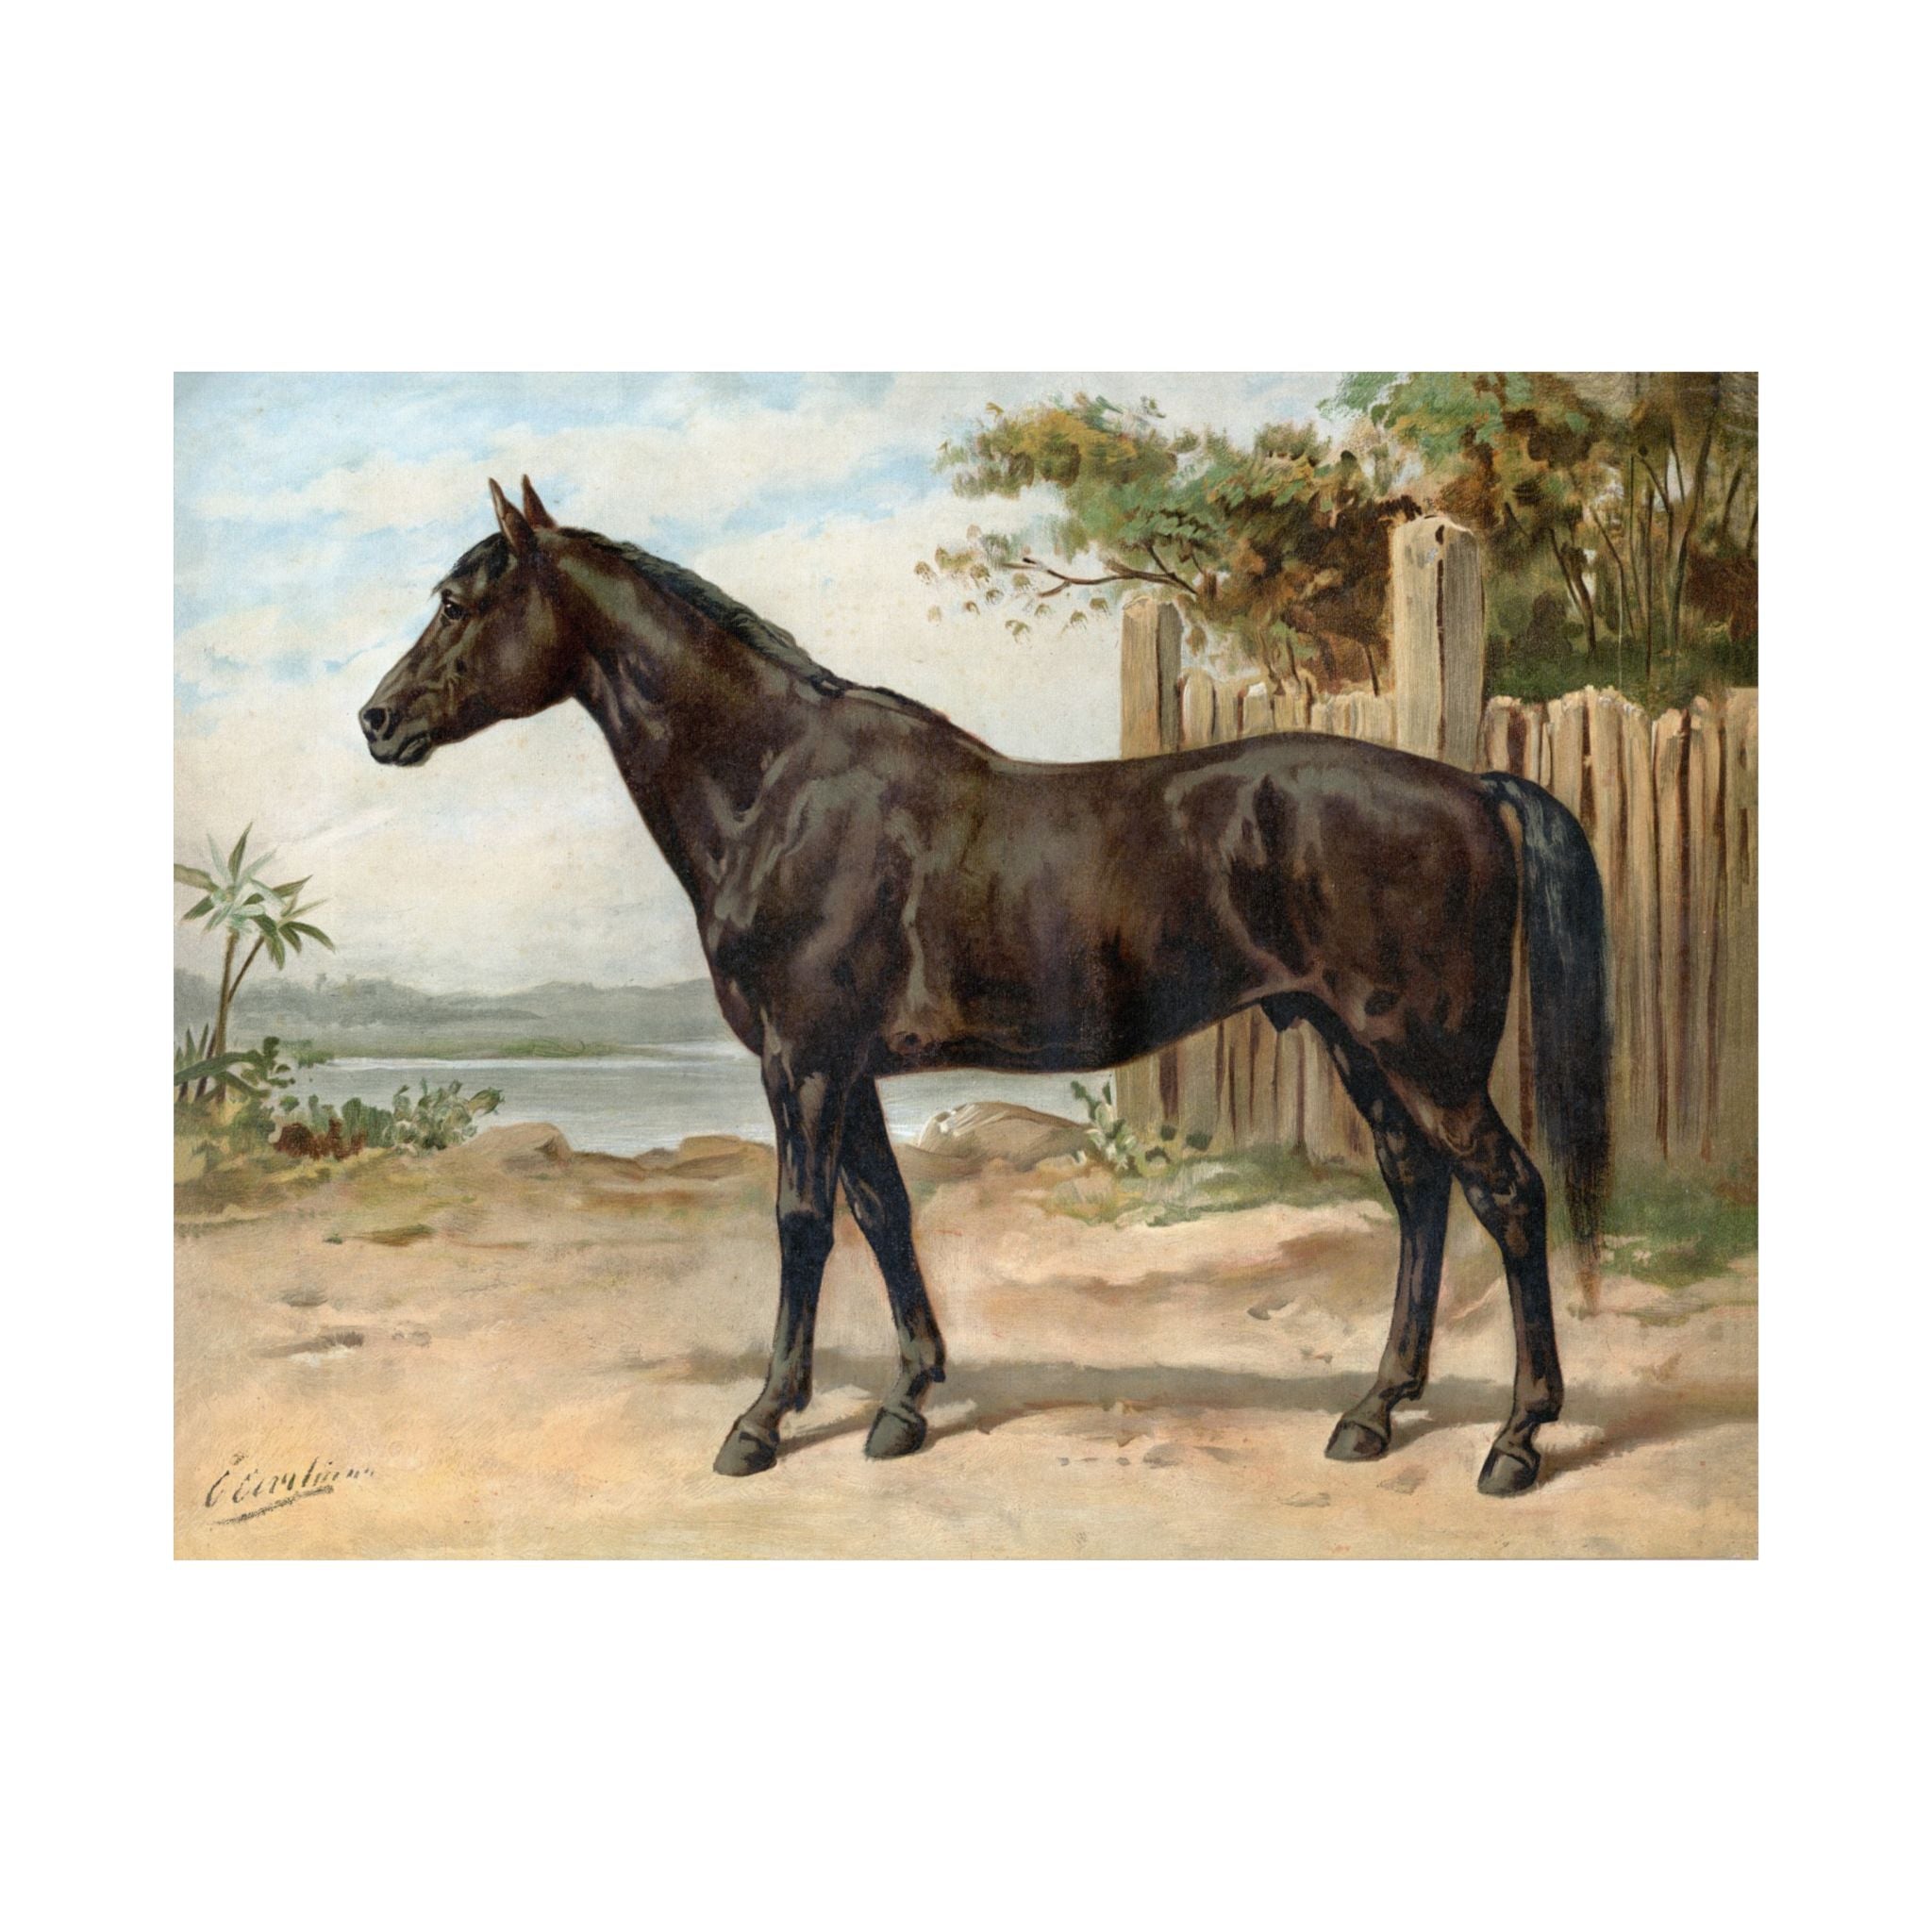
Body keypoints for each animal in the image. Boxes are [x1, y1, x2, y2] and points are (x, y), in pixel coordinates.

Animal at [362, 479, 1610, 1498]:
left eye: (459, 602)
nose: (377, 720)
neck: (777, 786)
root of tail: (1471, 786)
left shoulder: (801, 1060)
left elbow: (801, 1220)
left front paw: (762, 1420)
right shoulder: (845, 1067)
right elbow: (884, 1211)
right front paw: (907, 1400)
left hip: (1422, 1050)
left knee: (1507, 1194)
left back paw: (1516, 1438)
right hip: (1354, 1041)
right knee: (1417, 1191)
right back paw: (1373, 1412)